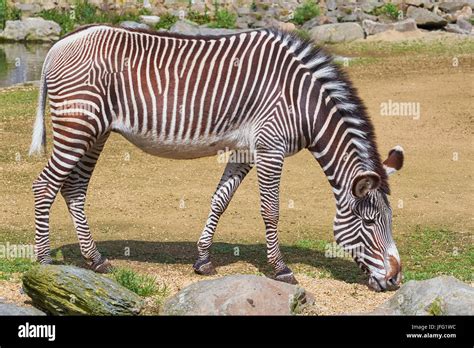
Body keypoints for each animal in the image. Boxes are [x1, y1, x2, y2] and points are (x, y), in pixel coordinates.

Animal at [28, 25, 404, 290]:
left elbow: (220, 200)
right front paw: (280, 268)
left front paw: (203, 260)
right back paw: (44, 261)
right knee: (45, 185)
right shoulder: (271, 147)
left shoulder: (245, 150)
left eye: (390, 220)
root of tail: (60, 43)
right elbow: (271, 210)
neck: (302, 101)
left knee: (74, 189)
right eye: (369, 223)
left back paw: (95, 260)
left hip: (95, 131)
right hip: (78, 126)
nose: (395, 280)